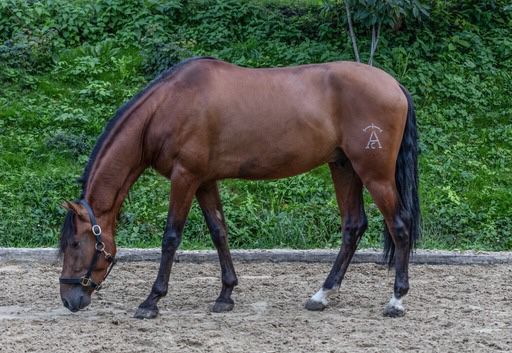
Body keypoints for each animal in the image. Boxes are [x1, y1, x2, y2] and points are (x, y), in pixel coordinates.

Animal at [59, 56, 420, 318]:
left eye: (75, 244)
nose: (68, 298)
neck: (168, 106)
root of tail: (394, 85)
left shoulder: (185, 177)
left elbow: (171, 238)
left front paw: (152, 300)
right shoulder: (204, 181)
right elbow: (219, 232)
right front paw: (226, 294)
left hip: (374, 173)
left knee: (400, 225)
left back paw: (396, 300)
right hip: (344, 167)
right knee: (353, 226)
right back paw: (322, 294)